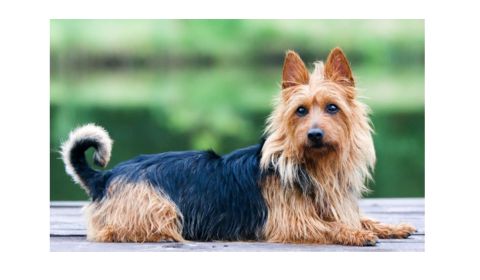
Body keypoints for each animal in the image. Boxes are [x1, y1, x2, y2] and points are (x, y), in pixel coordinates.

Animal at [62, 48, 416, 245]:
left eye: (332, 108)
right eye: (301, 110)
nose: (315, 134)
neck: (313, 165)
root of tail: (104, 177)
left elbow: (359, 219)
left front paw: (392, 226)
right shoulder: (290, 222)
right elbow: (329, 227)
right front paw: (356, 235)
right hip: (158, 208)